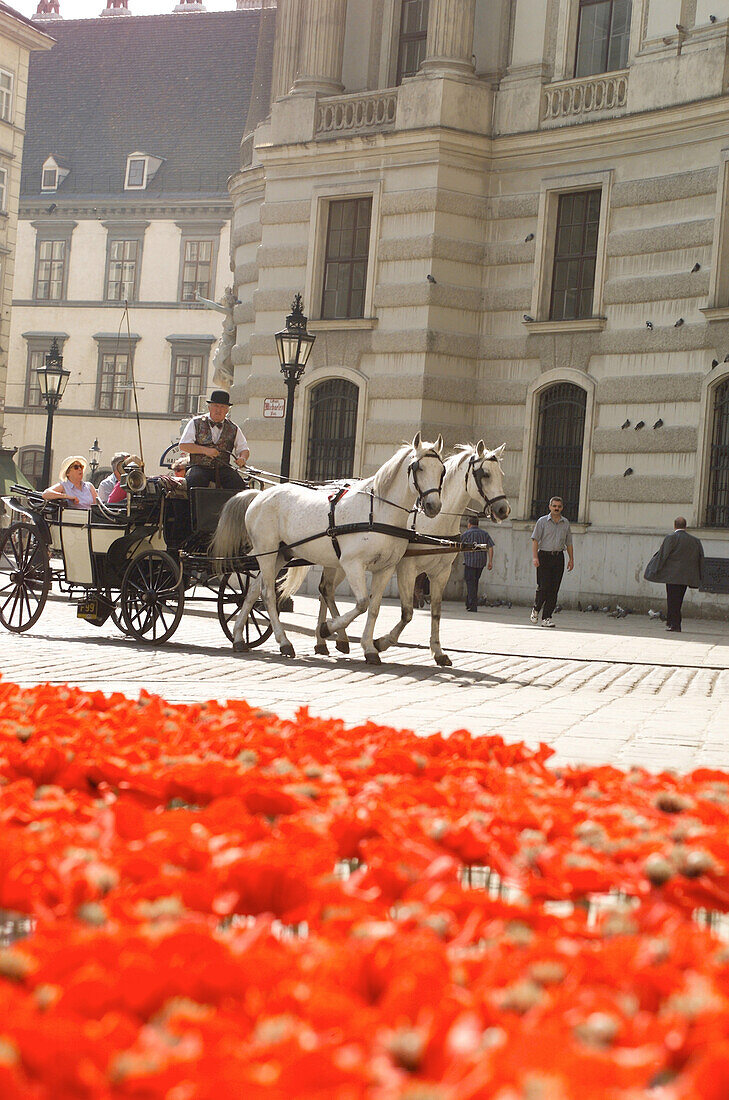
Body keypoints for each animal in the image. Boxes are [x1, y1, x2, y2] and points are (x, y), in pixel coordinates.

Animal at [212, 433, 444, 660]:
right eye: (419, 468)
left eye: (442, 471)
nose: (433, 506)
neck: (377, 511)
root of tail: (259, 496)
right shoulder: (352, 564)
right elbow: (362, 603)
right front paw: (327, 629)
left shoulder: (385, 568)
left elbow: (374, 608)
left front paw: (369, 647)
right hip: (266, 552)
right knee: (267, 593)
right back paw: (284, 642)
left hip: (280, 554)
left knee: (252, 591)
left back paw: (239, 637)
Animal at [314, 442, 512, 664]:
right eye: (485, 474)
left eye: (501, 474)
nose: (504, 509)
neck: (435, 524)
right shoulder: (407, 568)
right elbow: (407, 612)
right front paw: (381, 642)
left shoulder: (440, 573)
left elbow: (436, 612)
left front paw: (438, 651)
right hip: (341, 562)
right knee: (326, 591)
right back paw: (329, 636)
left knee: (325, 591)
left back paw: (329, 639)